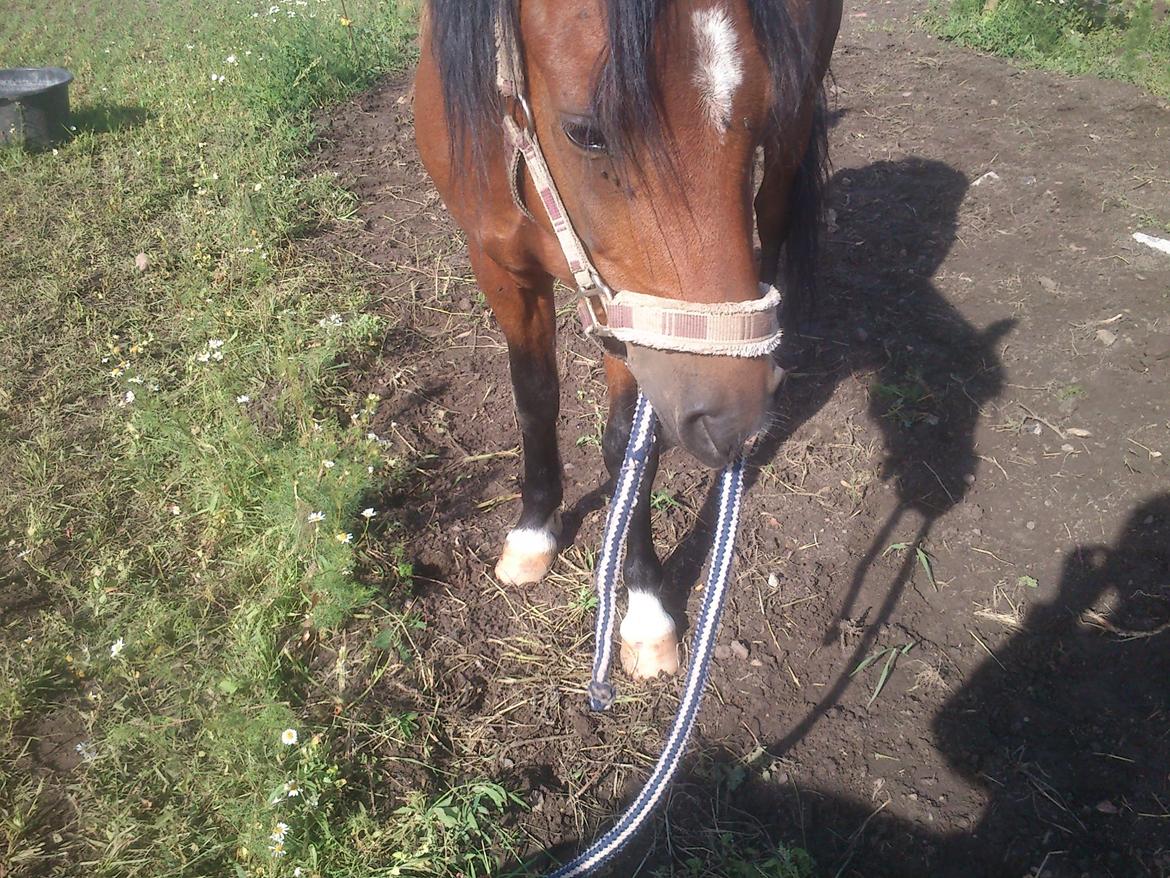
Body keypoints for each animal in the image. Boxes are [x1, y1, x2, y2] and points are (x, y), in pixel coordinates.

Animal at [413, 0, 842, 681]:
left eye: (757, 108)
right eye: (586, 131)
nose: (735, 418)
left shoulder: (630, 316)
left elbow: (626, 447)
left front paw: (644, 609)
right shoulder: (501, 267)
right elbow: (534, 399)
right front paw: (534, 530)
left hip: (790, 142)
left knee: (770, 227)